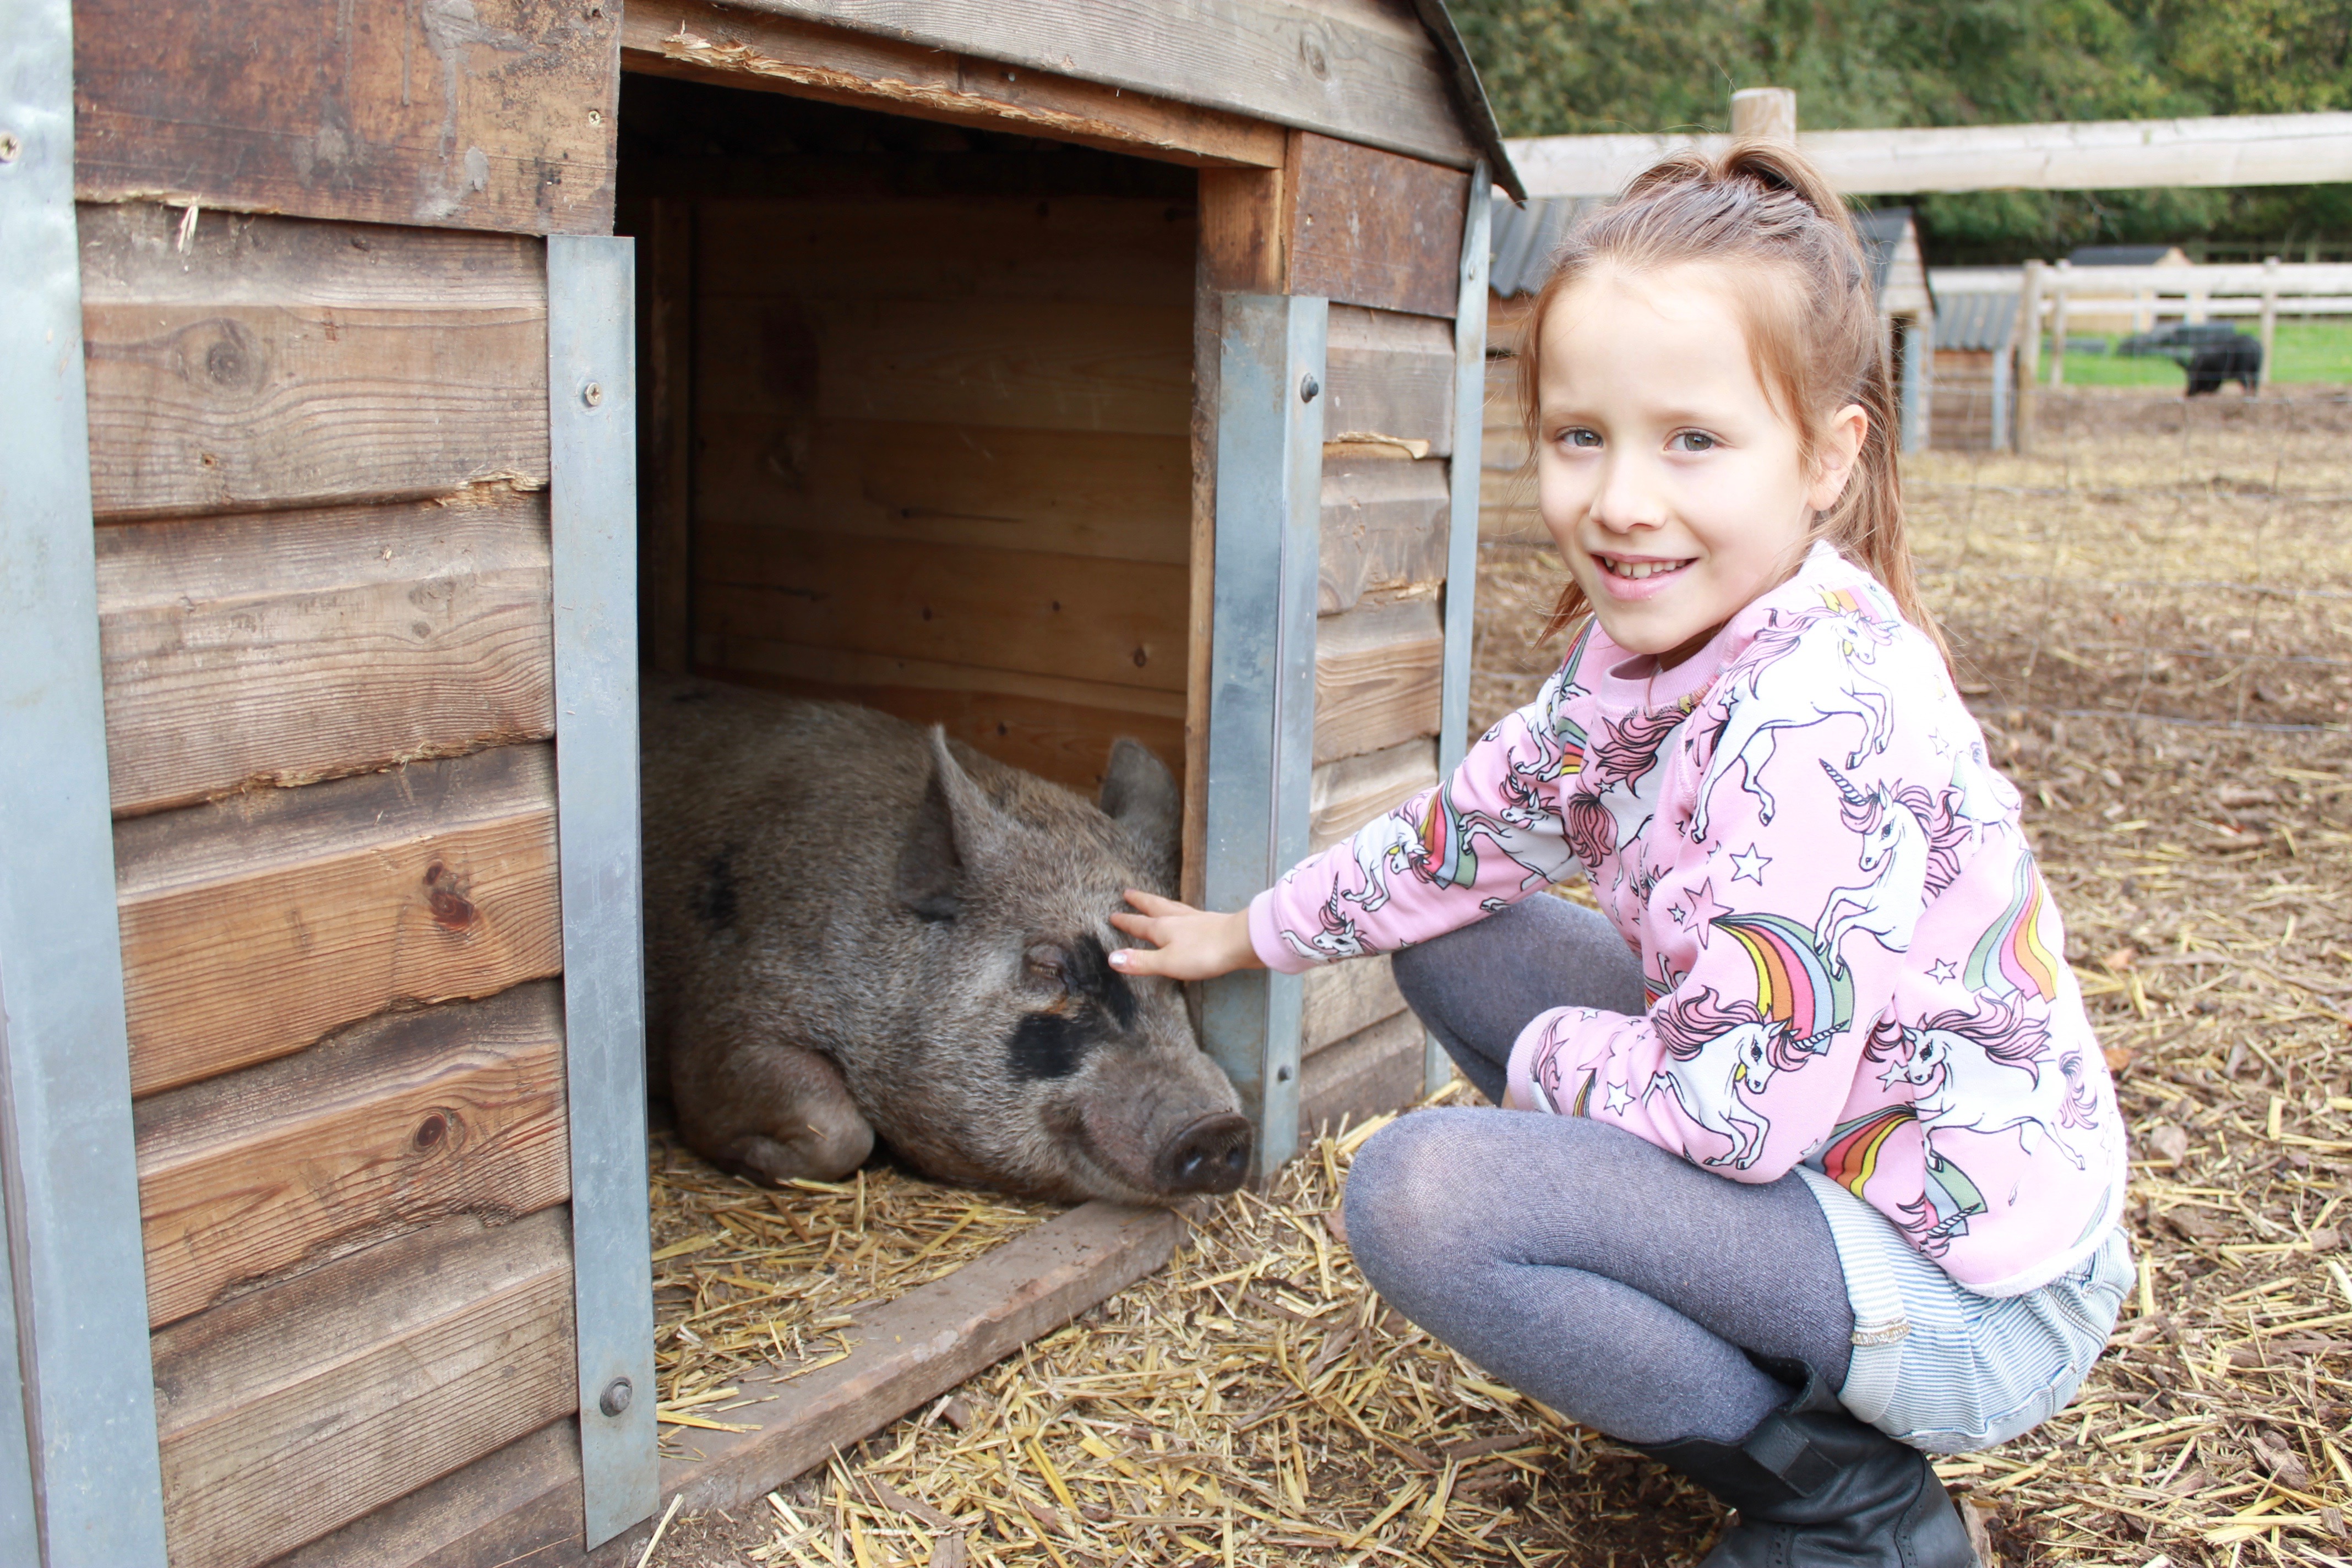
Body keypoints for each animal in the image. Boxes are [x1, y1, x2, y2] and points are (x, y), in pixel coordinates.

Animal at [639, 678, 1252, 1206]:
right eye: (1049, 966)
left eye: (1180, 979)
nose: (1219, 1126)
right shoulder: (725, 1016)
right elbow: (840, 1130)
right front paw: (754, 1162)